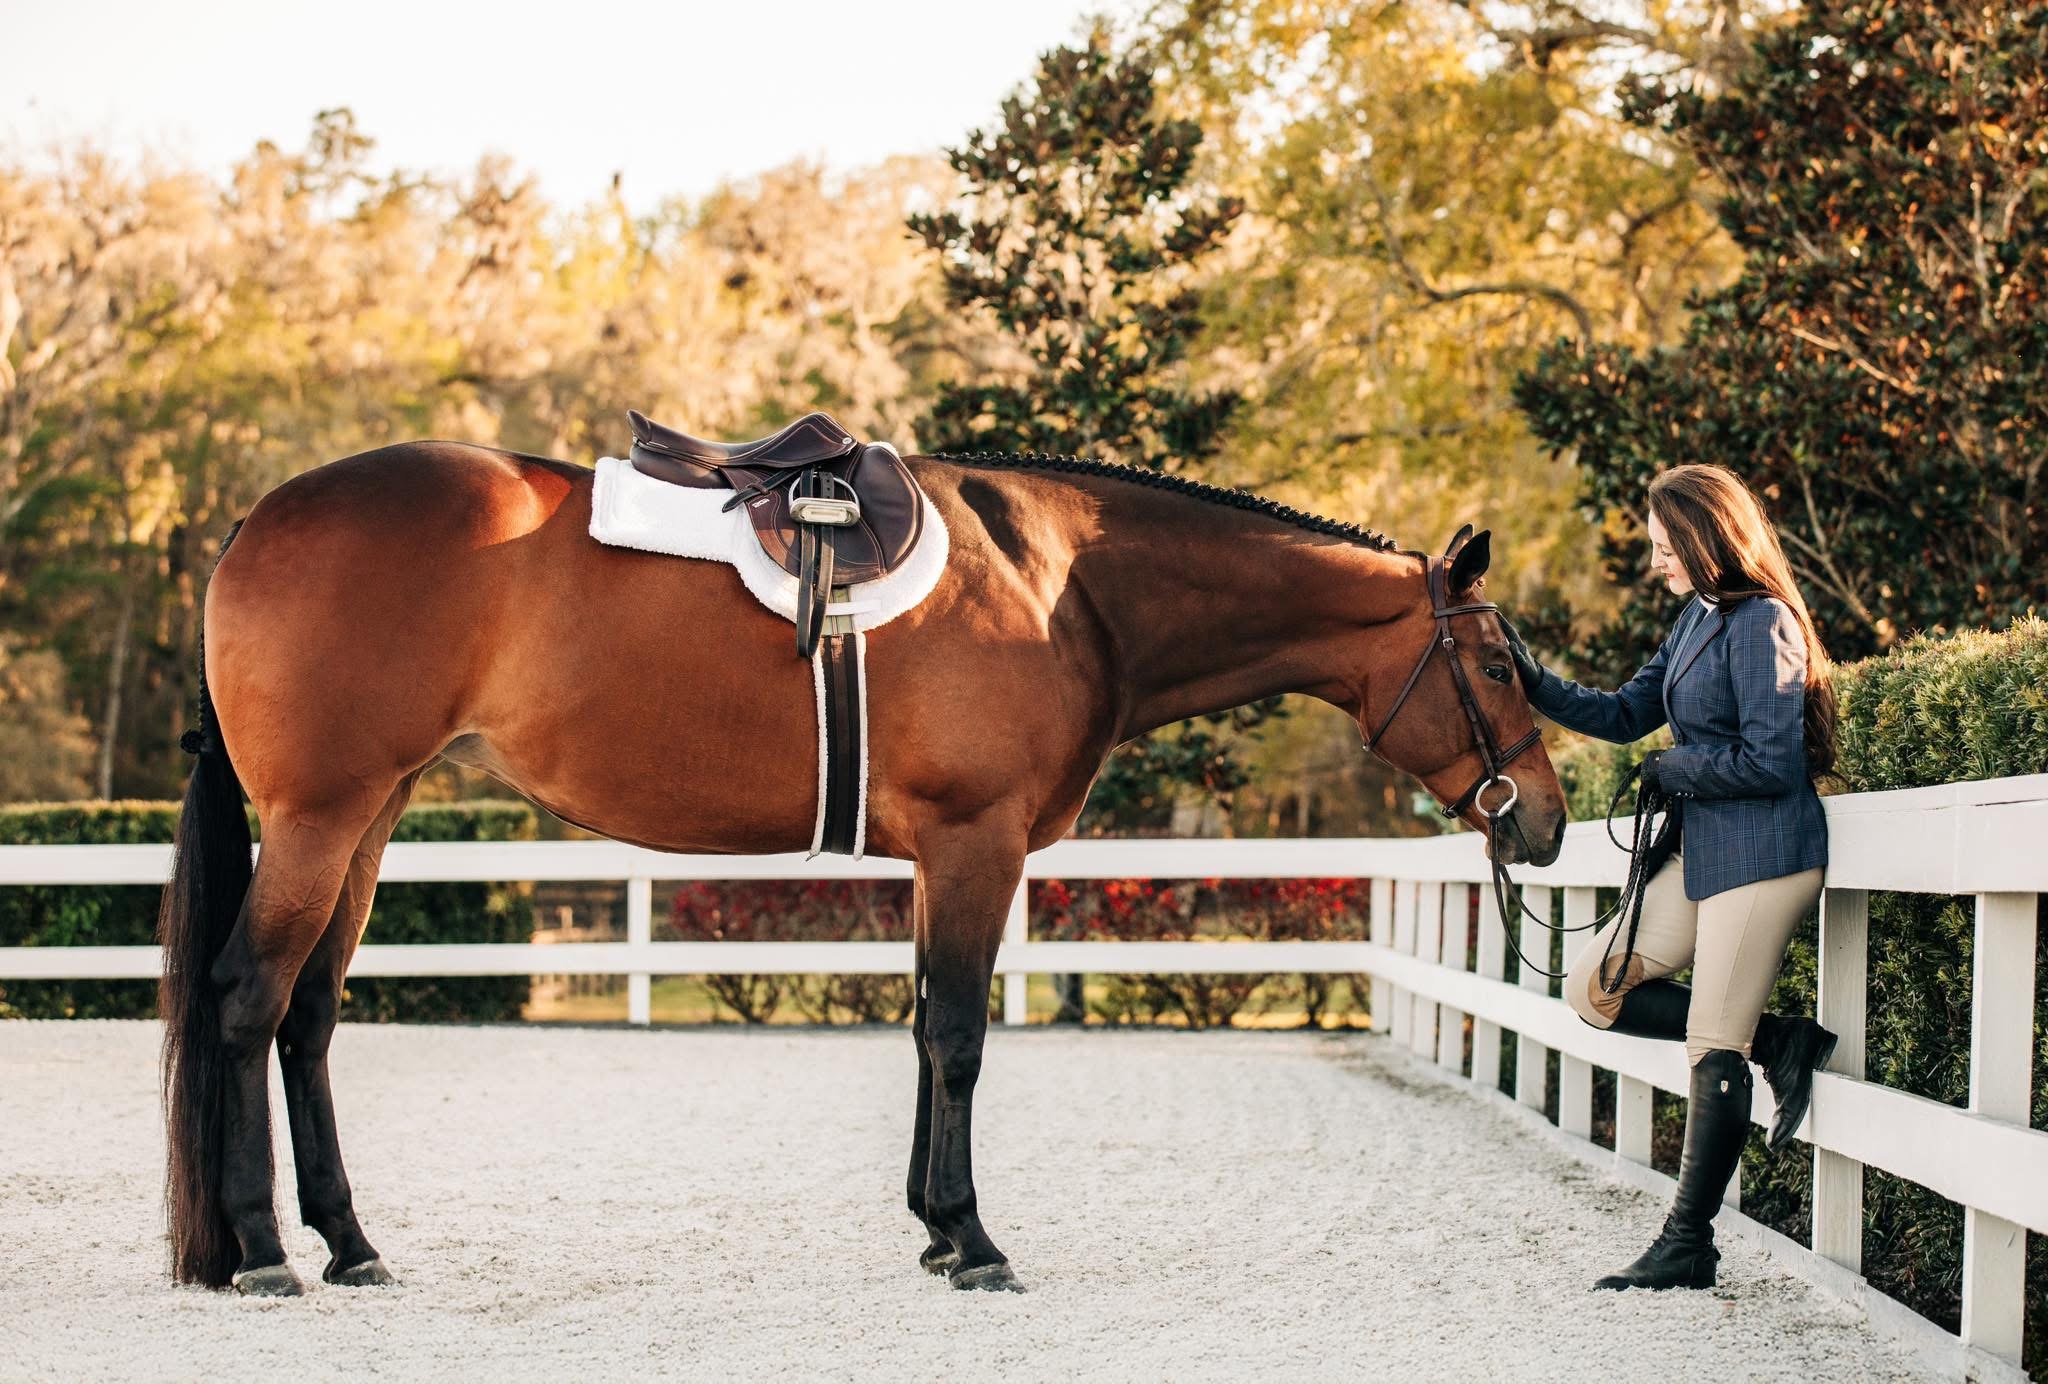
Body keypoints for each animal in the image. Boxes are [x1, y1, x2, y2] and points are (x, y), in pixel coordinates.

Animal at [156, 437, 1569, 1296]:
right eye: (1497, 666)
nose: (1548, 822)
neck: (1064, 584)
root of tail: (257, 519)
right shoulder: (974, 841)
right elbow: (957, 1037)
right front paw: (975, 1239)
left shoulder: (938, 858)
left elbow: (921, 1033)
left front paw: (933, 1229)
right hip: (324, 816)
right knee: (244, 1000)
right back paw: (264, 1250)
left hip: (372, 815)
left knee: (308, 1018)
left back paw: (348, 1243)